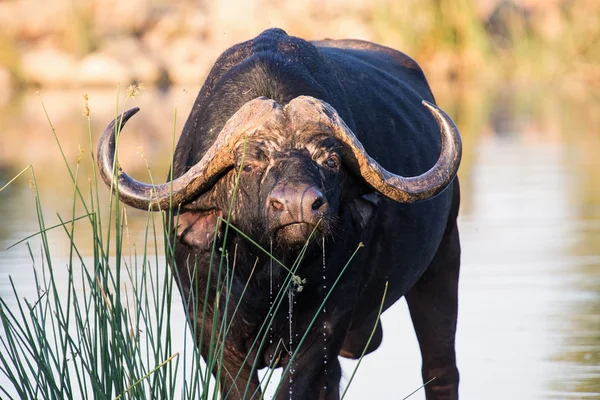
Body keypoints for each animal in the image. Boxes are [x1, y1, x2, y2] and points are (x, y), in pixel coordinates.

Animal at [97, 28, 464, 400]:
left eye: (330, 160)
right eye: (249, 163)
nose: (298, 204)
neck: (269, 274)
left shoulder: (327, 323)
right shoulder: (209, 329)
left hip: (444, 260)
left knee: (440, 369)